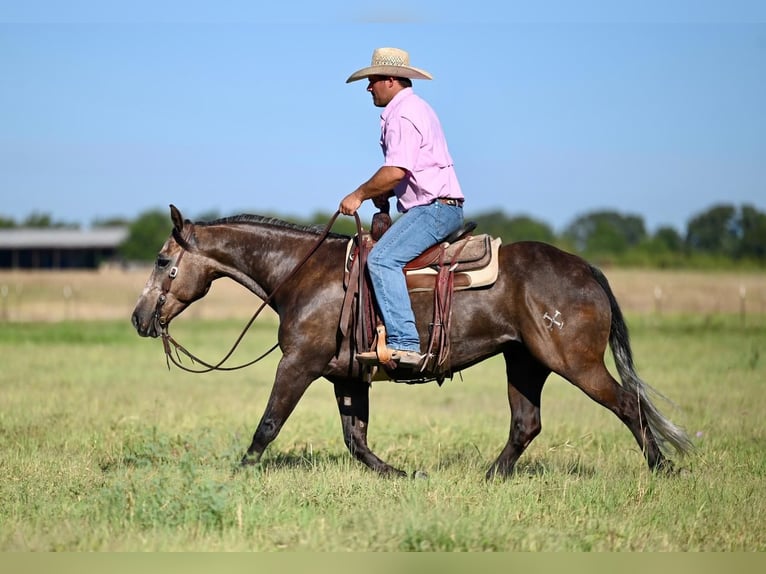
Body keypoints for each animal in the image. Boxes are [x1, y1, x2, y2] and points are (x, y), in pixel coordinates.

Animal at [129, 205, 692, 480]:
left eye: (161, 260)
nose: (138, 317)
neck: (303, 274)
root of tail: (587, 269)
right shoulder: (345, 375)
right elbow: (356, 439)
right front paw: (402, 474)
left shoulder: (299, 364)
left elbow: (268, 425)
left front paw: (237, 476)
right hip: (525, 362)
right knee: (526, 423)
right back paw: (491, 477)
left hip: (574, 361)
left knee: (628, 403)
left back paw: (662, 470)